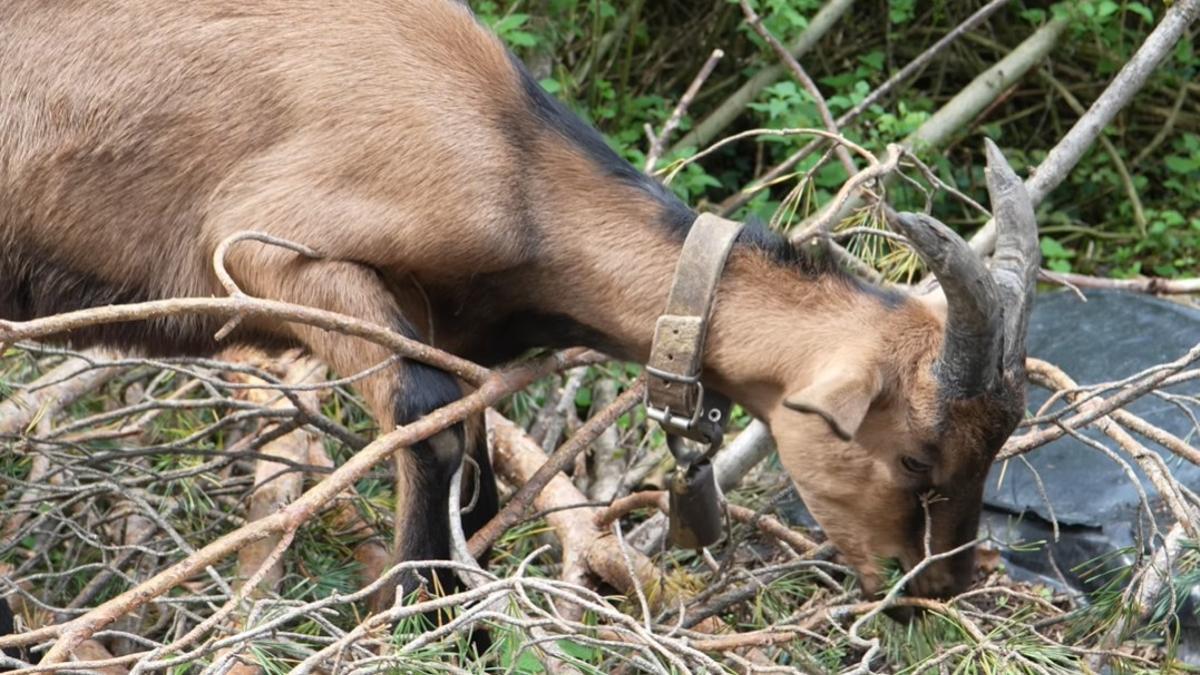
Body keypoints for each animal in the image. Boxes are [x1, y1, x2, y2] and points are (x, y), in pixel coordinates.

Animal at [0, 0, 1037, 612]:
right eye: (916, 456)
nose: (935, 587)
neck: (516, 164)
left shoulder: (447, 327)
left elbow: (475, 459)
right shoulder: (262, 247)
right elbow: (428, 423)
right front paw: (421, 619)